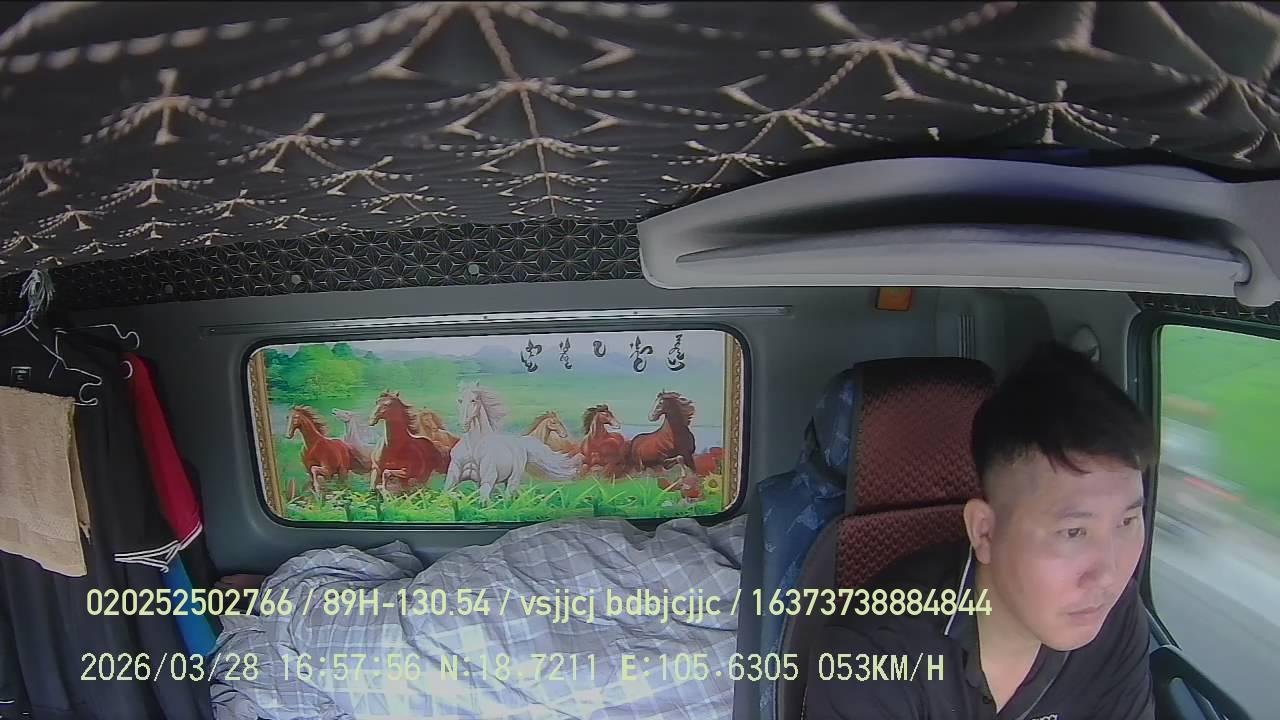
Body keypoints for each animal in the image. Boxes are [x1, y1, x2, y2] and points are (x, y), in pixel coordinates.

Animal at [444, 383, 579, 505]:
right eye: (460, 400)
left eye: (474, 400)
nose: (463, 425)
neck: (474, 447)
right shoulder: (453, 478)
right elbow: (447, 493)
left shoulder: (488, 480)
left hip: (512, 479)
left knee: (508, 497)